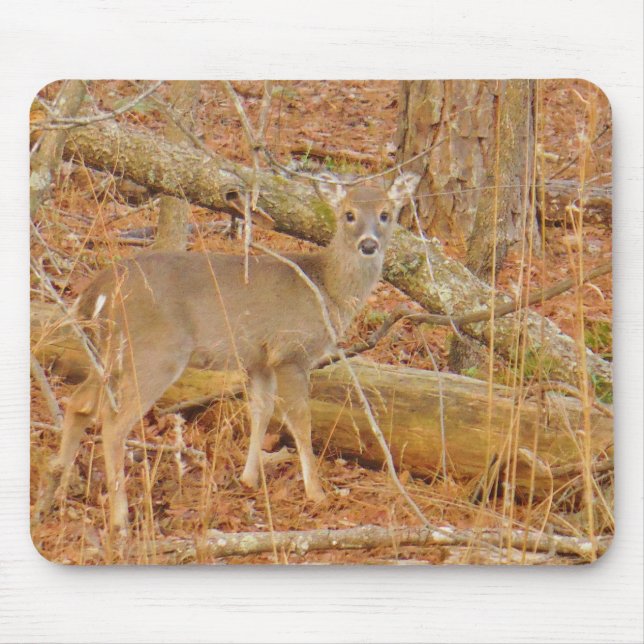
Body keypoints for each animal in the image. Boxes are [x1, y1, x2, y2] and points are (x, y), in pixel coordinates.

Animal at [36, 172, 420, 535]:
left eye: (386, 214)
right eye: (348, 214)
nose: (368, 244)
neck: (327, 290)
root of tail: (97, 290)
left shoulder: (259, 359)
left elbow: (261, 411)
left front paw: (248, 479)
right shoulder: (290, 351)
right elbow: (300, 420)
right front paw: (316, 492)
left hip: (108, 355)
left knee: (79, 402)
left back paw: (57, 490)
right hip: (155, 353)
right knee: (114, 423)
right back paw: (120, 518)